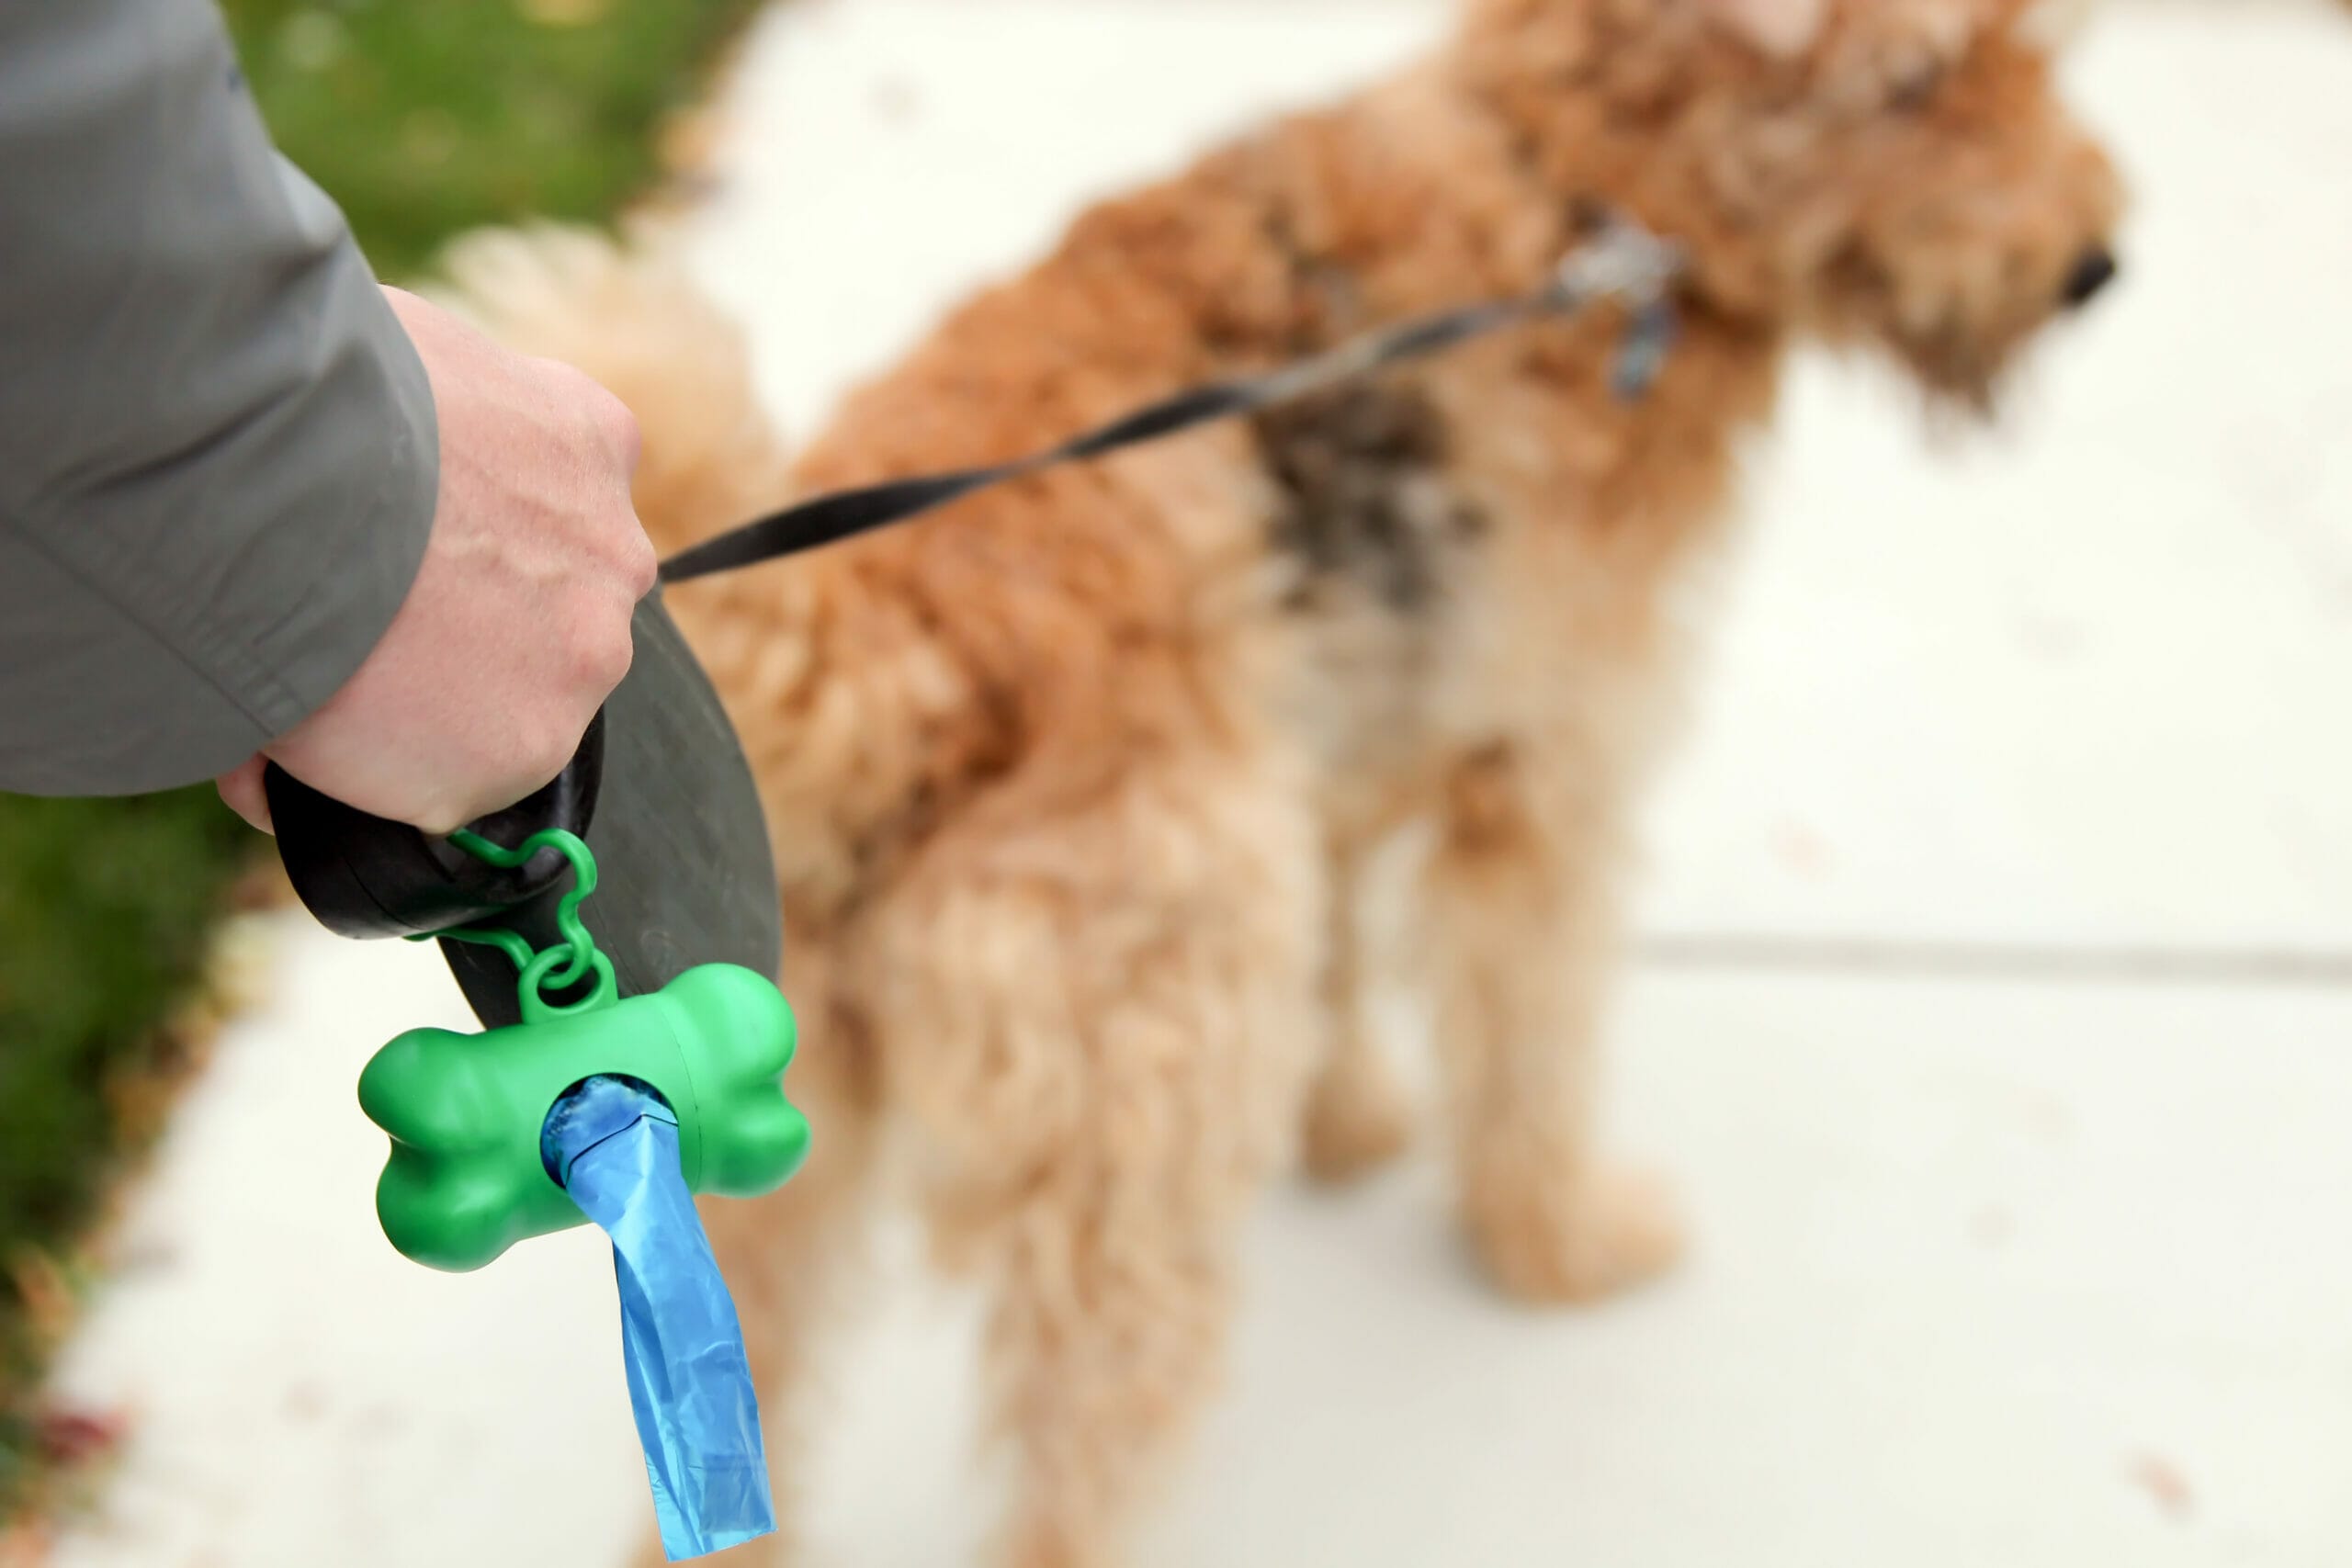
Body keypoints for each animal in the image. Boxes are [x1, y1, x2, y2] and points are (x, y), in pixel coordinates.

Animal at [433, 0, 2126, 1561]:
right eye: (1915, 81)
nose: (2096, 264)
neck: (1574, 185)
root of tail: (889, 637)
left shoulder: (1338, 754)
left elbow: (1346, 964)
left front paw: (1353, 1125)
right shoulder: (1542, 775)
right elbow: (1528, 1048)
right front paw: (1562, 1244)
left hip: (771, 1156)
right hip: (1135, 1162)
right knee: (1071, 1486)